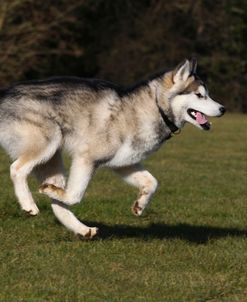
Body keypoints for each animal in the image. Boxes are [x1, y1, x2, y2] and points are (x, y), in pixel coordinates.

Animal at [0, 58, 225, 238]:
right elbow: (75, 195)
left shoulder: (124, 163)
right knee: (17, 169)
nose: (223, 109)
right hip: (47, 143)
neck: (154, 108)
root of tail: (4, 93)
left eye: (207, 94)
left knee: (58, 203)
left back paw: (81, 228)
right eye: (199, 95)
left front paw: (140, 205)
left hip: (52, 160)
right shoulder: (86, 157)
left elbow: (152, 182)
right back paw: (29, 204)